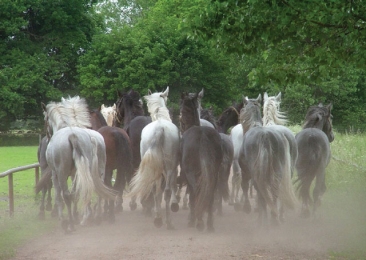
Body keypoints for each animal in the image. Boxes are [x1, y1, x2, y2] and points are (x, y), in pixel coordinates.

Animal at [42, 96, 116, 233]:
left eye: (45, 119)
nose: (47, 138)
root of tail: (72, 135)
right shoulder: (75, 173)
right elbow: (76, 193)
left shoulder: (56, 174)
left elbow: (59, 195)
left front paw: (63, 218)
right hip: (97, 170)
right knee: (96, 189)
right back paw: (96, 216)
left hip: (62, 173)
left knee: (67, 195)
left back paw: (71, 223)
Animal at [128, 87, 181, 230]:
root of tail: (159, 128)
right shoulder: (172, 168)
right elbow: (172, 185)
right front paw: (175, 204)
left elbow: (158, 190)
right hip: (169, 166)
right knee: (165, 190)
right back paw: (167, 221)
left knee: (154, 189)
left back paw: (159, 219)